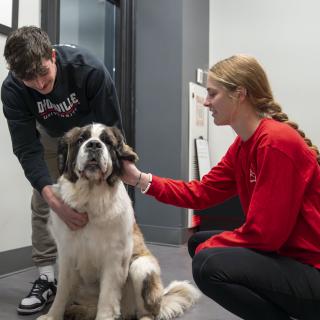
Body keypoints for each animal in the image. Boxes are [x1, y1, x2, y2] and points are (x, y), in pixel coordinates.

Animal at [37, 124, 200, 320]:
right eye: (81, 139)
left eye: (107, 142)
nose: (94, 145)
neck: (90, 199)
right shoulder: (67, 254)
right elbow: (61, 291)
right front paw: (52, 316)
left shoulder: (114, 258)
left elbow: (107, 296)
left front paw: (104, 316)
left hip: (141, 267)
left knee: (148, 312)